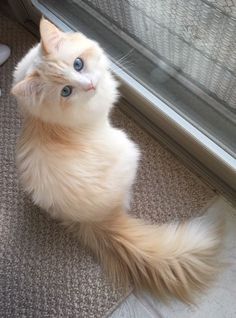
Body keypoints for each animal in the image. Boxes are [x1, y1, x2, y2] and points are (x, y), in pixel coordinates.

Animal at [12, 18, 224, 302]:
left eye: (78, 64)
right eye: (66, 91)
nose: (90, 85)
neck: (44, 120)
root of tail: (99, 220)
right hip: (129, 146)